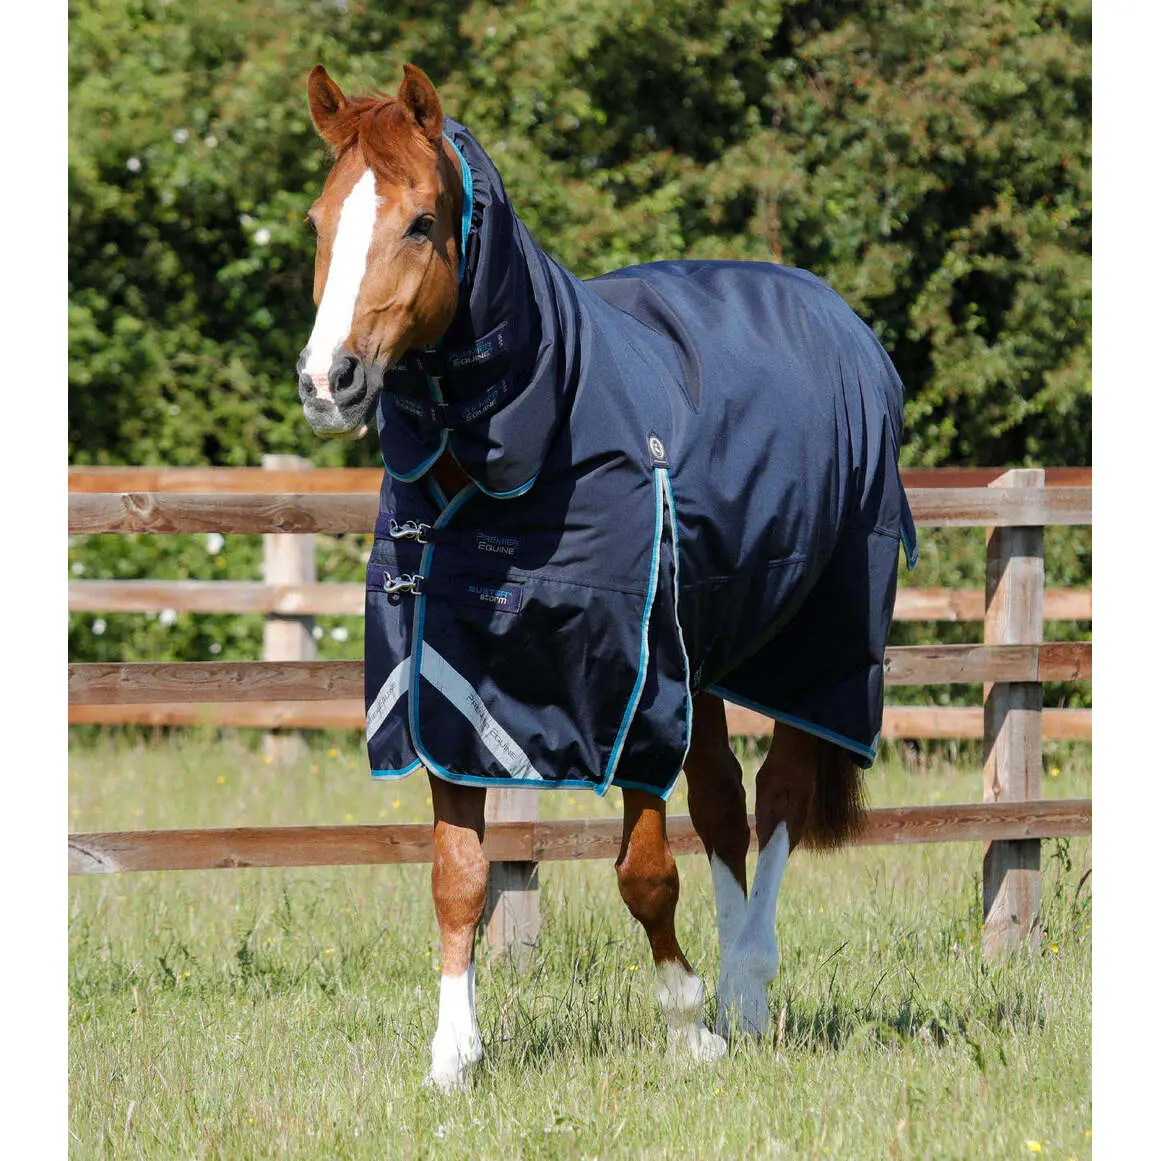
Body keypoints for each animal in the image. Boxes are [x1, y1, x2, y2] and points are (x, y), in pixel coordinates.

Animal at [295, 64, 917, 1092]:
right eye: (316, 221)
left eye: (422, 221)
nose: (327, 381)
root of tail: (837, 316)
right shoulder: (445, 692)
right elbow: (458, 876)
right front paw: (452, 1056)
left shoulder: (631, 692)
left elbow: (644, 873)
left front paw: (687, 1024)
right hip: (702, 659)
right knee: (725, 808)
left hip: (813, 648)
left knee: (781, 798)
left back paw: (747, 991)